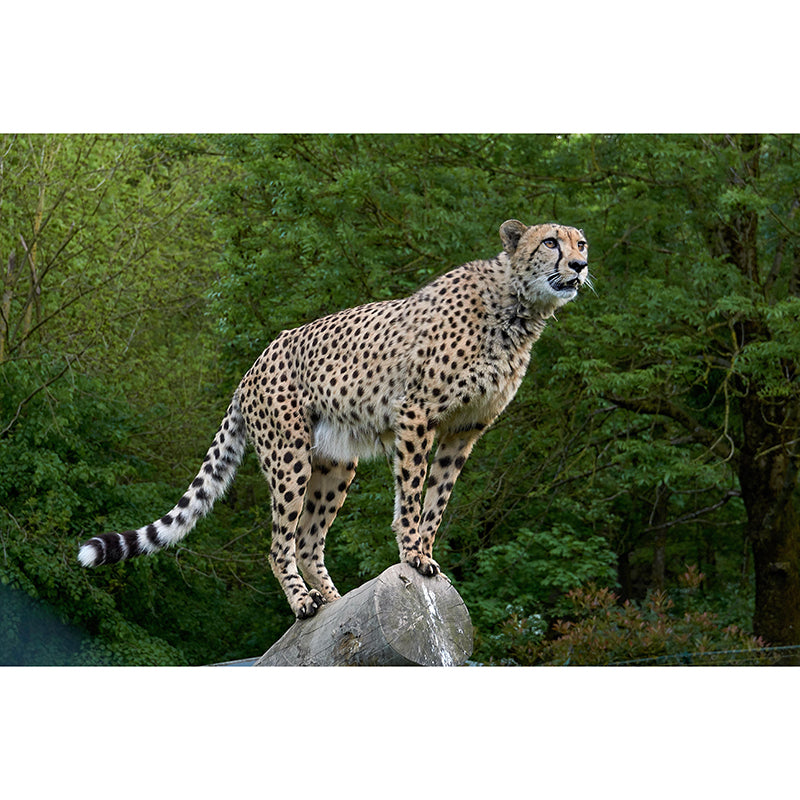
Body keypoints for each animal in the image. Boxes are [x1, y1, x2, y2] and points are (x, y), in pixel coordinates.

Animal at [78, 220, 590, 620]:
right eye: (550, 242)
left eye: (581, 243)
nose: (580, 267)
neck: (516, 307)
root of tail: (253, 365)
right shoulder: (417, 413)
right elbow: (412, 493)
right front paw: (411, 552)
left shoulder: (464, 431)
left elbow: (437, 500)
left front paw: (424, 552)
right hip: (289, 455)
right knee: (279, 543)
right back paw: (303, 602)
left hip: (336, 461)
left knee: (308, 539)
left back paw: (334, 599)